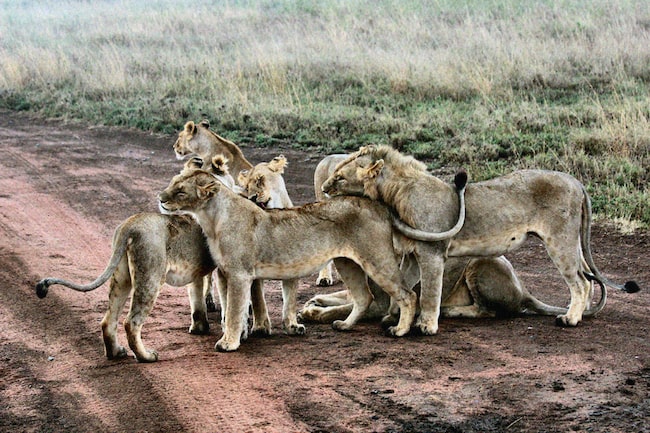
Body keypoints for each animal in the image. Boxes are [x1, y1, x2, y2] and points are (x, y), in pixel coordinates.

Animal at [159, 169, 418, 352]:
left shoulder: (239, 274)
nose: (160, 198)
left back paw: (400, 330)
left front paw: (229, 343)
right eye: (172, 183)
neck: (211, 218)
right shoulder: (224, 273)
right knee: (364, 297)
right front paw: (239, 334)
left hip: (377, 259)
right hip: (348, 263)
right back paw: (344, 325)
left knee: (407, 294)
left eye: (180, 191)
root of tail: (378, 205)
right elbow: (232, 308)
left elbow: (234, 310)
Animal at [322, 144, 636, 334]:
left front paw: (426, 326)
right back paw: (582, 314)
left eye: (339, 178)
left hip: (560, 241)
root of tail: (576, 182)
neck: (393, 194)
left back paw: (571, 319)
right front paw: (395, 317)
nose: (324, 188)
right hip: (571, 242)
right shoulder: (413, 254)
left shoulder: (432, 253)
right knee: (588, 280)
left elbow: (430, 291)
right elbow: (406, 287)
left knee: (581, 282)